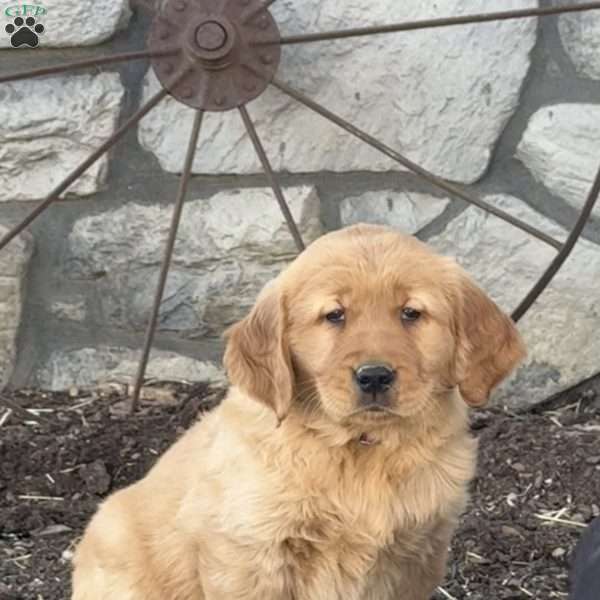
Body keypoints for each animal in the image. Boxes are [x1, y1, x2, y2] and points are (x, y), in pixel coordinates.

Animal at [71, 223, 524, 596]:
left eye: (411, 313)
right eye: (334, 315)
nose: (375, 376)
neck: (360, 447)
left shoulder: (417, 554)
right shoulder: (250, 553)